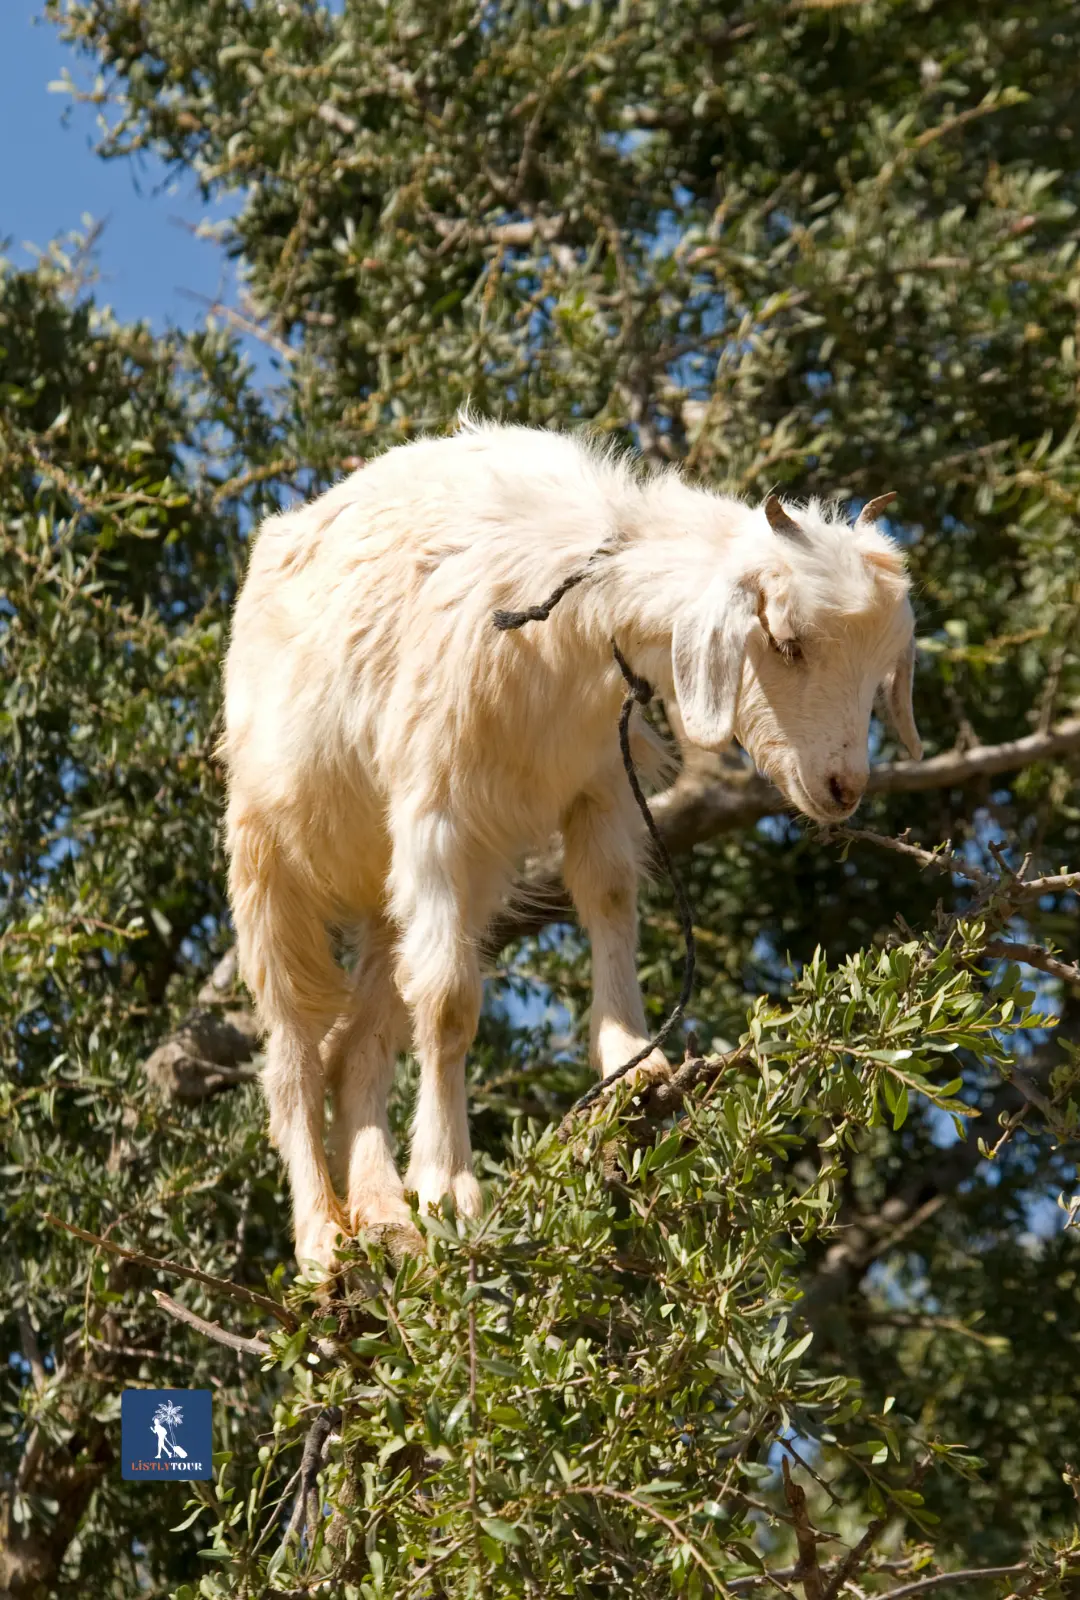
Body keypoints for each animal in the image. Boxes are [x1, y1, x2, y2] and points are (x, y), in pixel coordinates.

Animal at [221, 418, 922, 1270]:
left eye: (883, 668)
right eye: (787, 643)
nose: (842, 788)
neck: (566, 623)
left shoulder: (597, 784)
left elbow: (610, 900)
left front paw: (632, 1062)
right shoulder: (436, 809)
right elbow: (450, 1003)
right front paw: (449, 1188)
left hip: (392, 895)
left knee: (359, 1042)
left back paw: (385, 1219)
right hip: (267, 857)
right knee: (292, 1050)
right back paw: (324, 1237)